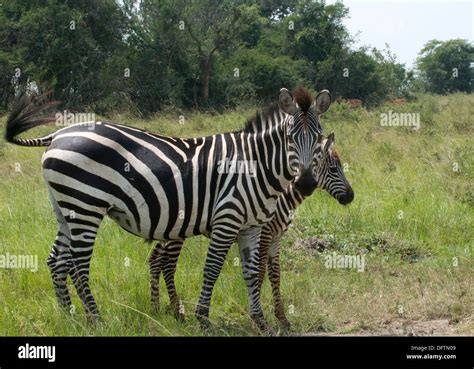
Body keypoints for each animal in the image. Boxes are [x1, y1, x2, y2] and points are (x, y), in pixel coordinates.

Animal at [3, 87, 330, 330]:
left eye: (318, 139)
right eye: (289, 138)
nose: (305, 184)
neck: (256, 166)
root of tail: (58, 134)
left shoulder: (251, 226)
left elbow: (251, 273)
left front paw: (261, 322)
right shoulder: (226, 220)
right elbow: (212, 269)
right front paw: (203, 320)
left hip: (65, 209)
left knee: (56, 260)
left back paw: (69, 316)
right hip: (85, 205)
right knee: (78, 263)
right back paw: (96, 319)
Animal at [150, 134, 354, 330]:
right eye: (333, 169)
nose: (351, 196)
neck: (282, 196)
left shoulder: (275, 239)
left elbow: (275, 275)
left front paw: (282, 319)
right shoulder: (263, 235)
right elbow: (260, 273)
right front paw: (258, 316)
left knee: (155, 258)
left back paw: (156, 308)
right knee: (167, 264)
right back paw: (178, 313)